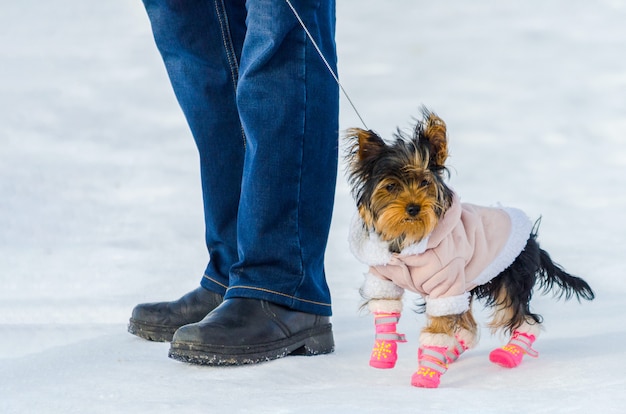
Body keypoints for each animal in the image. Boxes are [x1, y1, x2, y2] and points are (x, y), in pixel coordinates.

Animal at [344, 109, 592, 388]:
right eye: (391, 186)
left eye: (425, 183)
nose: (413, 208)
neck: (410, 241)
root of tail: (532, 240)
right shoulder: (383, 276)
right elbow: (385, 308)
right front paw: (383, 355)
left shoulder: (446, 285)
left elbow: (438, 329)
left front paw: (427, 375)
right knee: (468, 326)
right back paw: (451, 354)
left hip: (509, 278)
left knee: (523, 318)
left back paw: (508, 354)